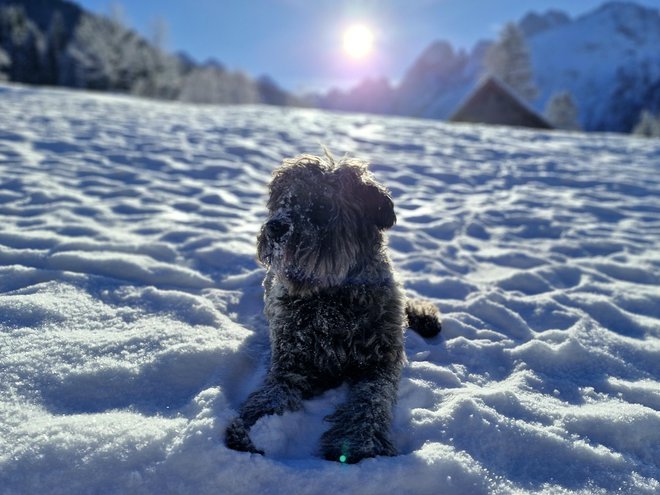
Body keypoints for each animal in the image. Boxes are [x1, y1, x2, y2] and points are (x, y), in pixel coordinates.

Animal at [224, 152, 440, 464]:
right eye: (286, 201)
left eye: (323, 205)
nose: (277, 226)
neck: (331, 300)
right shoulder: (291, 364)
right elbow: (269, 396)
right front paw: (250, 429)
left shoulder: (380, 363)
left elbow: (371, 402)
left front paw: (361, 443)